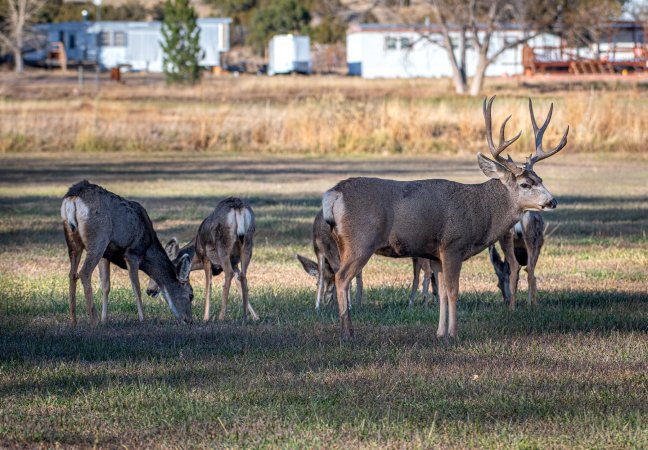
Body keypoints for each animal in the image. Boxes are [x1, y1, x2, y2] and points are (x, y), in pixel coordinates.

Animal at [60, 181, 192, 326]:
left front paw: (105, 319)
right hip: (98, 238)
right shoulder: (132, 252)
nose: (189, 320)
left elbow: (105, 286)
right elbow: (136, 287)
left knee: (72, 274)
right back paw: (94, 321)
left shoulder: (106, 256)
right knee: (84, 273)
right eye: (191, 295)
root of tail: (73, 197)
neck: (148, 249)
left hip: (73, 240)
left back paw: (73, 321)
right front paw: (143, 319)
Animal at [322, 97, 568, 338]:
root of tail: (334, 194)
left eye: (540, 179)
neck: (481, 211)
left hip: (343, 242)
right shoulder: (453, 245)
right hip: (361, 240)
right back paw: (348, 333)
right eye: (525, 184)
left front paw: (440, 332)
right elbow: (453, 291)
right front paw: (454, 334)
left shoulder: (435, 254)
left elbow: (440, 292)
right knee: (342, 278)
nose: (552, 201)